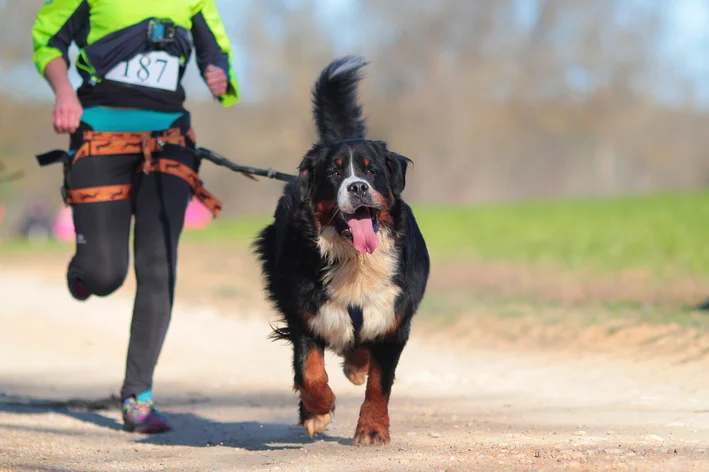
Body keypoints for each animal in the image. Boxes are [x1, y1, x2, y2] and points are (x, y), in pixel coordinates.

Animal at [254, 55, 432, 446]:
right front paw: (317, 411)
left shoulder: (393, 318)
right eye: (335, 173)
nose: (358, 187)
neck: (356, 260)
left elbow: (380, 383)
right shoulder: (305, 311)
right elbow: (310, 373)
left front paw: (372, 428)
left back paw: (355, 365)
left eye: (372, 170)